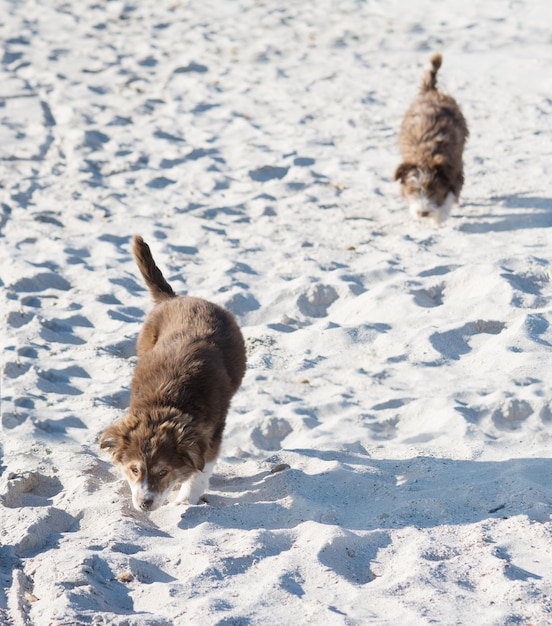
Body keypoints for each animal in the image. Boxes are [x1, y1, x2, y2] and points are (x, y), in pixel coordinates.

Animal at [100, 236, 247, 510]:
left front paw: (185, 501)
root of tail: (175, 298)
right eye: (134, 470)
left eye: (163, 472)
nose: (144, 504)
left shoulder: (212, 432)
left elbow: (201, 470)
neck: (168, 401)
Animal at [394, 53, 468, 224]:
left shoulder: (455, 168)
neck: (426, 154)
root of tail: (431, 91)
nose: (423, 213)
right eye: (413, 190)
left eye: (433, 190)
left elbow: (451, 193)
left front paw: (439, 217)